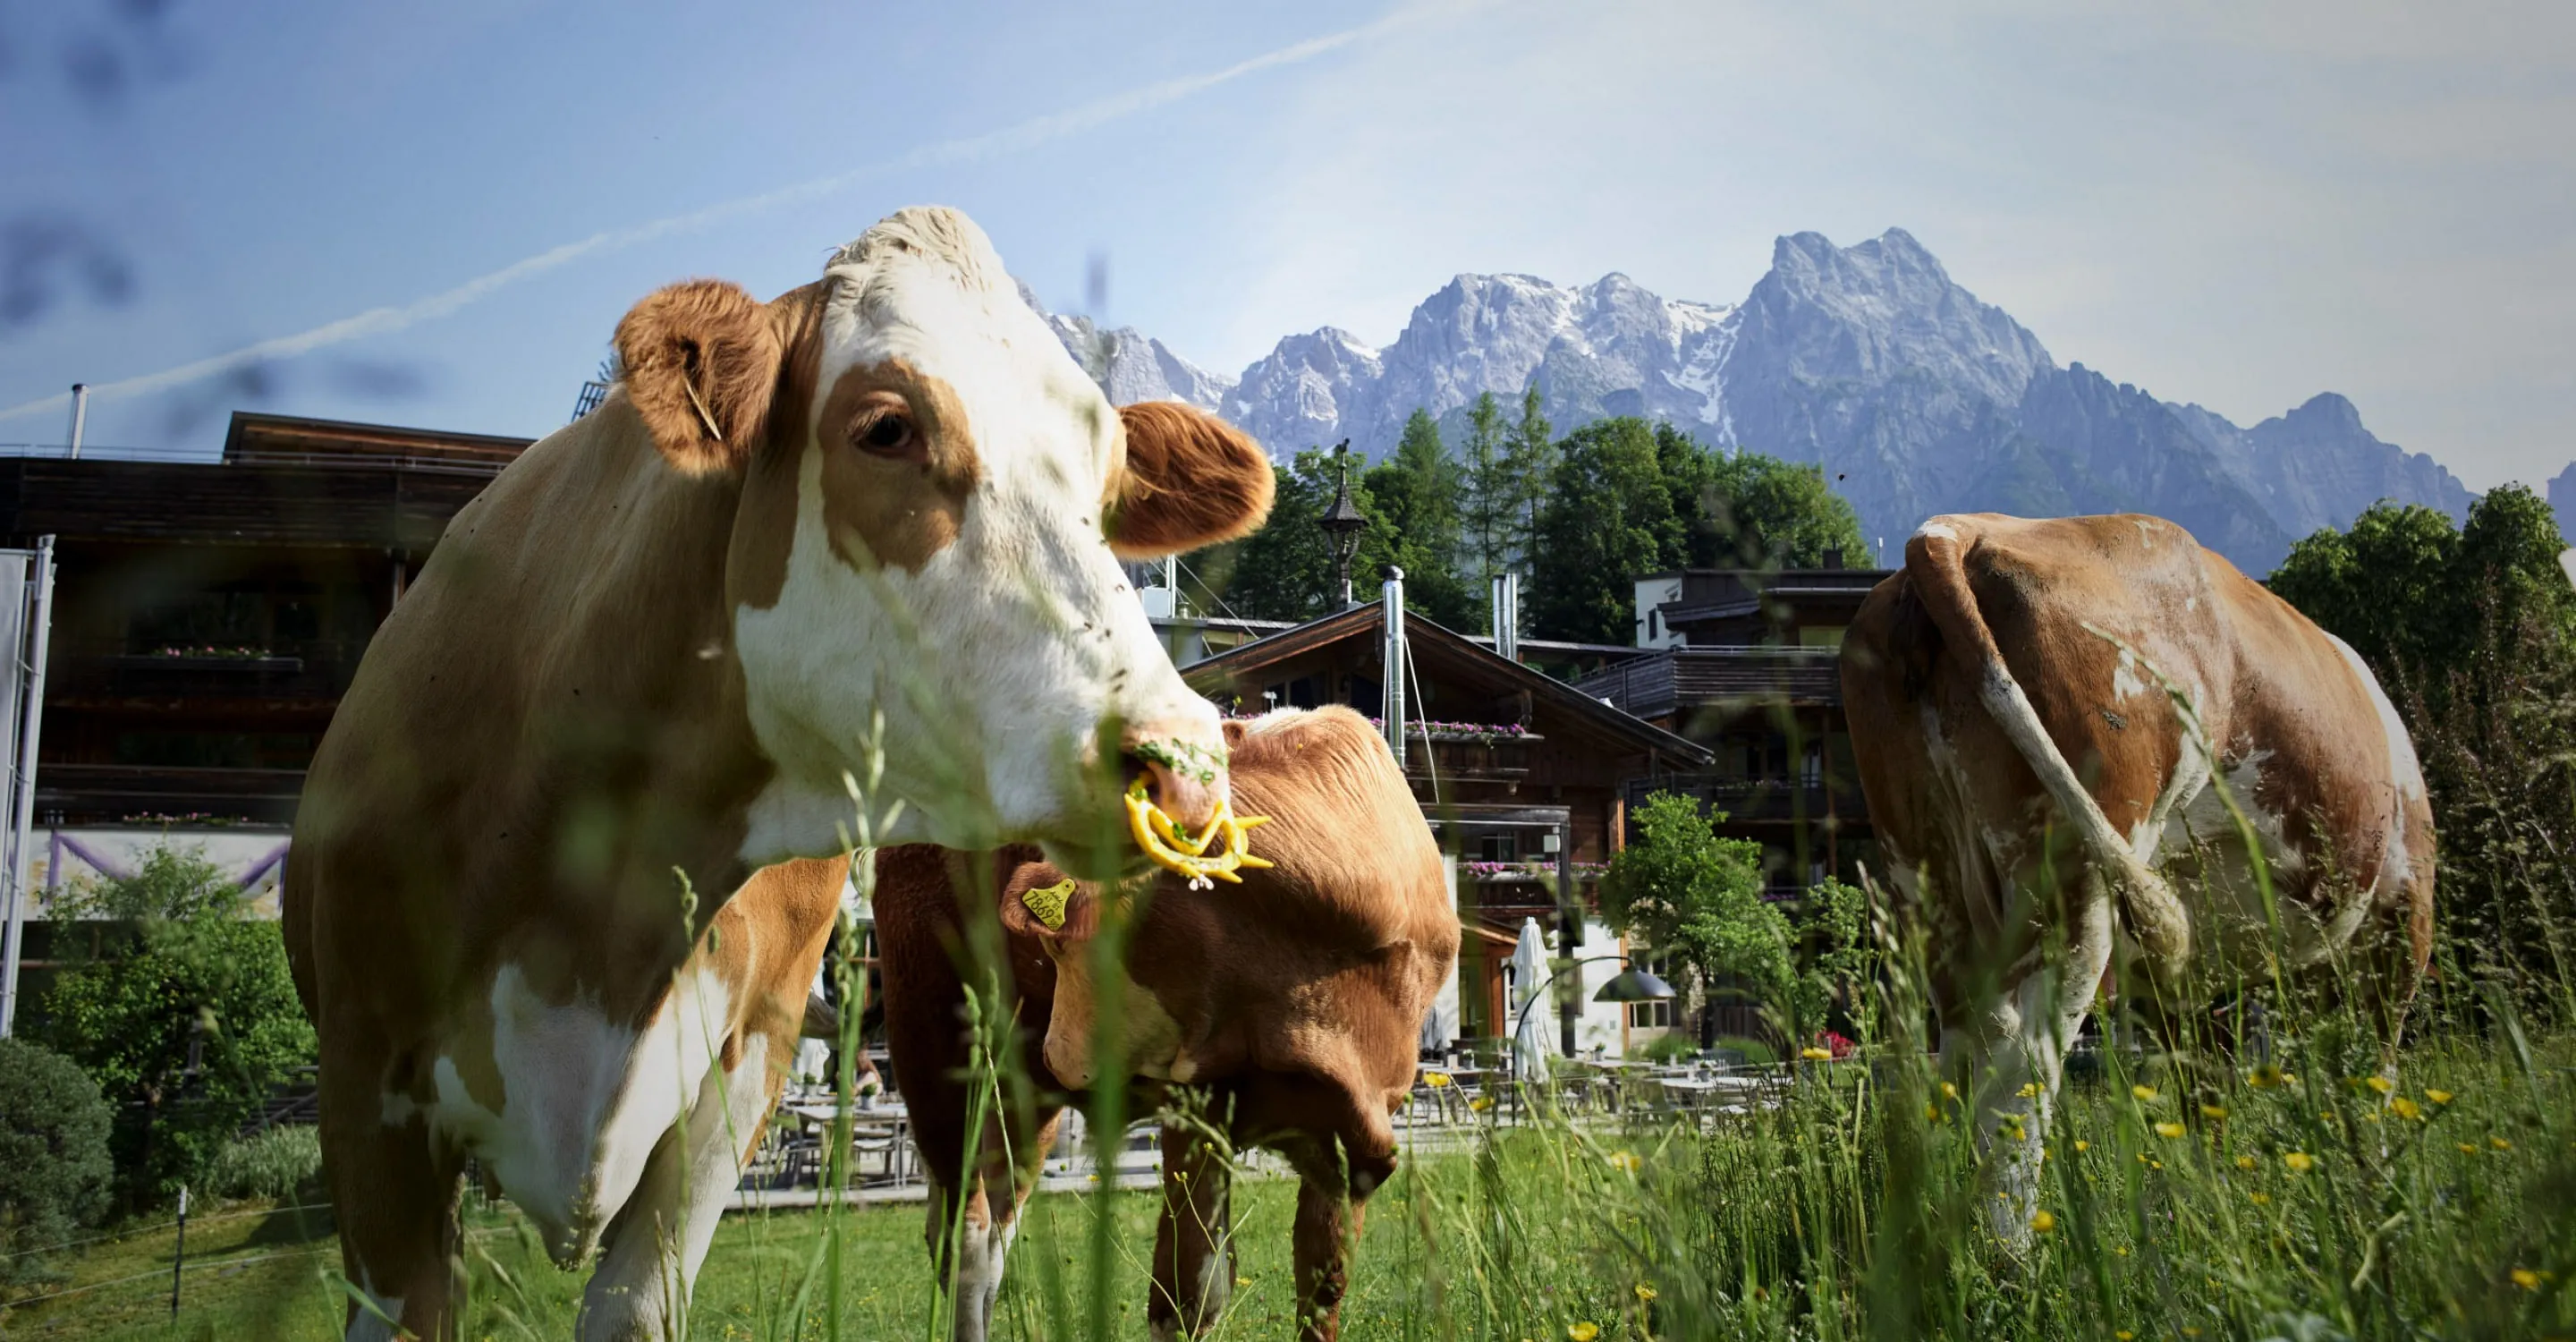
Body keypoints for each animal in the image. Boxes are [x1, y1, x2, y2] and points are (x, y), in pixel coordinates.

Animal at [873, 705, 1458, 1342]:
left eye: (1063, 943)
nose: (1058, 1052)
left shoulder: (1363, 1120)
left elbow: (1322, 1283)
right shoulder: (1197, 1101)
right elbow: (1188, 1293)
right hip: (941, 1049)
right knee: (969, 1243)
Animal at [1839, 512, 2435, 1241]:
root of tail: (1956, 532)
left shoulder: (2177, 986)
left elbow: (2200, 1097)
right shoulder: (2403, 925)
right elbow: (2374, 1084)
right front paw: (2372, 1204)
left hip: (1924, 871)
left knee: (1959, 1048)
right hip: (2080, 876)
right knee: (2024, 1065)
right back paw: (2010, 1255)